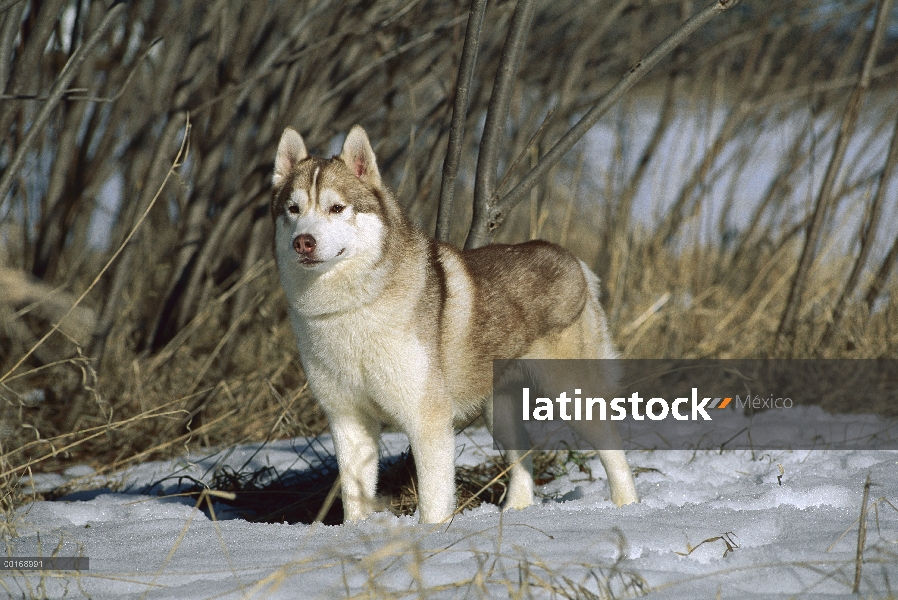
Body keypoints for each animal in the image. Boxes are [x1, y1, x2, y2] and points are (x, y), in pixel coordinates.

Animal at [268, 126, 636, 524]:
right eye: (293, 209)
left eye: (336, 208)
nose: (303, 242)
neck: (351, 308)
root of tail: (572, 259)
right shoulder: (348, 419)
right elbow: (355, 497)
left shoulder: (427, 419)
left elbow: (433, 502)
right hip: (498, 411)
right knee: (522, 457)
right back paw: (516, 510)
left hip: (571, 394)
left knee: (614, 451)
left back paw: (628, 508)